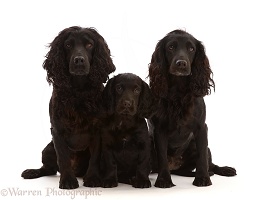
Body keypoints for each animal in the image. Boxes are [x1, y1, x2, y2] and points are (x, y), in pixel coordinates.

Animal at [21, 25, 116, 188]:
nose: (79, 60)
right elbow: (63, 158)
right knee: (49, 168)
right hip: (47, 149)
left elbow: (95, 157)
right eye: (68, 45)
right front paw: (67, 180)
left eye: (89, 45)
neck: (78, 91)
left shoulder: (97, 130)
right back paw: (32, 172)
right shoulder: (57, 130)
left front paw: (92, 178)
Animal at [148, 29, 238, 188]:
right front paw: (164, 180)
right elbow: (162, 157)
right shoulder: (159, 130)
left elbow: (202, 158)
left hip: (199, 145)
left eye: (191, 49)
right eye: (171, 47)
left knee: (210, 163)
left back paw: (222, 170)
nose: (181, 64)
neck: (178, 92)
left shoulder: (201, 128)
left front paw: (202, 179)